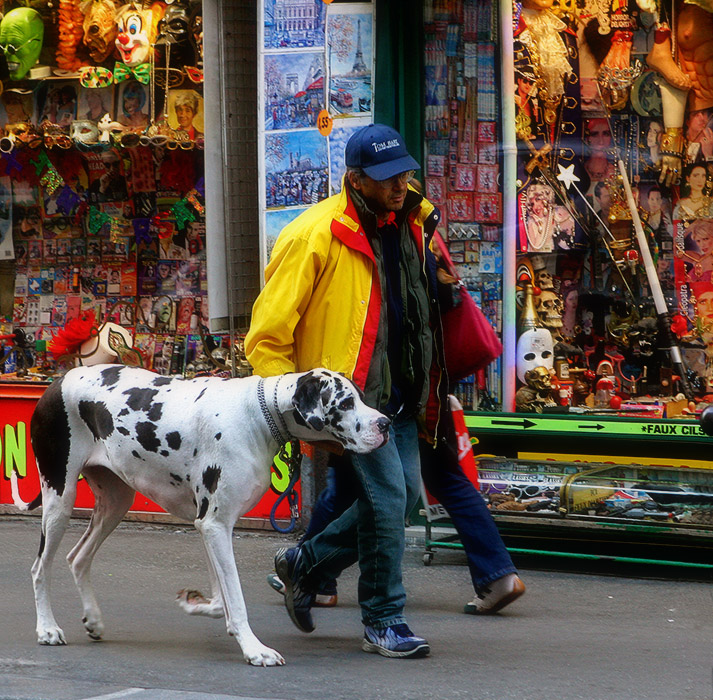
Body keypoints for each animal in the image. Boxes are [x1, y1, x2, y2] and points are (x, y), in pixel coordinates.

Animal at [16, 366, 390, 668]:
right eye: (345, 403)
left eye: (360, 397)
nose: (386, 423)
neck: (259, 415)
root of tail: (56, 382)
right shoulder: (215, 526)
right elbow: (235, 598)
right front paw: (254, 649)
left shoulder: (211, 527)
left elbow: (221, 599)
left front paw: (196, 604)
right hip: (60, 500)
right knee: (38, 567)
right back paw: (47, 628)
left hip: (116, 503)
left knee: (77, 557)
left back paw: (93, 619)